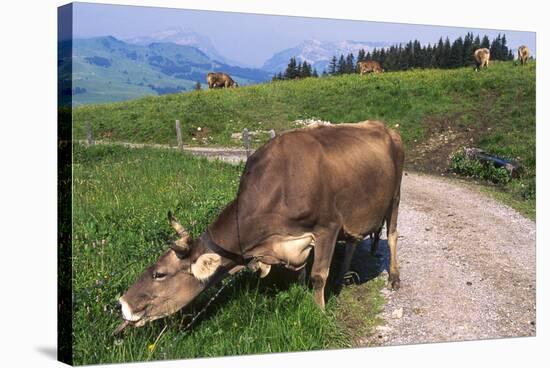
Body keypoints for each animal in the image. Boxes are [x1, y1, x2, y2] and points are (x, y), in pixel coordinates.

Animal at [114, 121, 406, 334]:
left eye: (159, 274)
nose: (123, 304)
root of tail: (384, 126)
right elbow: (301, 273)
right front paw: (302, 293)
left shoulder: (328, 227)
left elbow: (317, 275)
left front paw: (319, 312)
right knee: (354, 241)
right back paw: (342, 278)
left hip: (395, 197)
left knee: (392, 235)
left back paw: (394, 277)